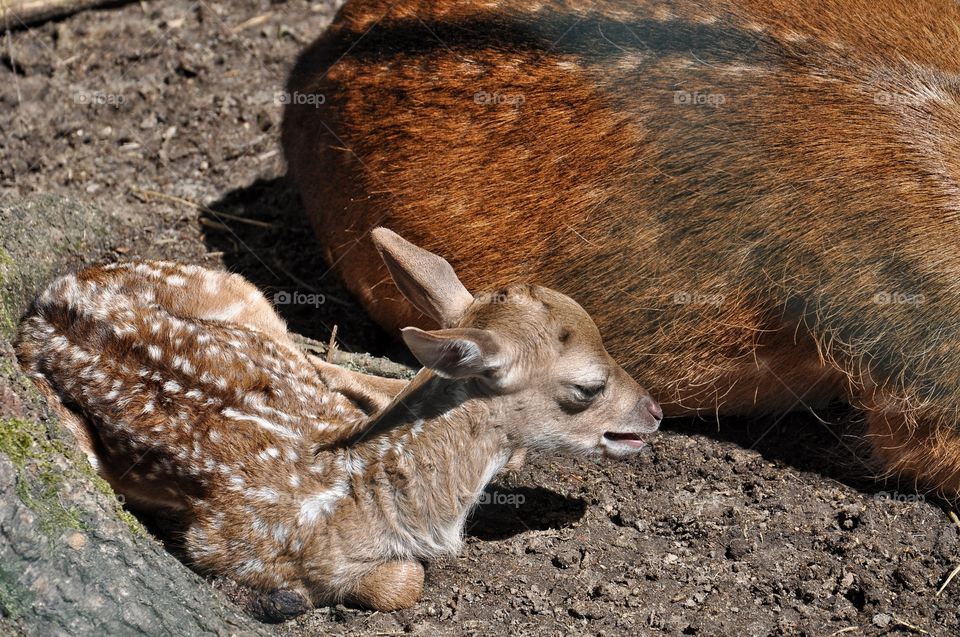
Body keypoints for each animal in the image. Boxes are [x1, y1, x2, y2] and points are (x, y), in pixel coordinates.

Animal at [15, 229, 660, 612]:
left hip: (240, 290)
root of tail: (50, 297)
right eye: (589, 386)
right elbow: (404, 581)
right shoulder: (228, 544)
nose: (654, 412)